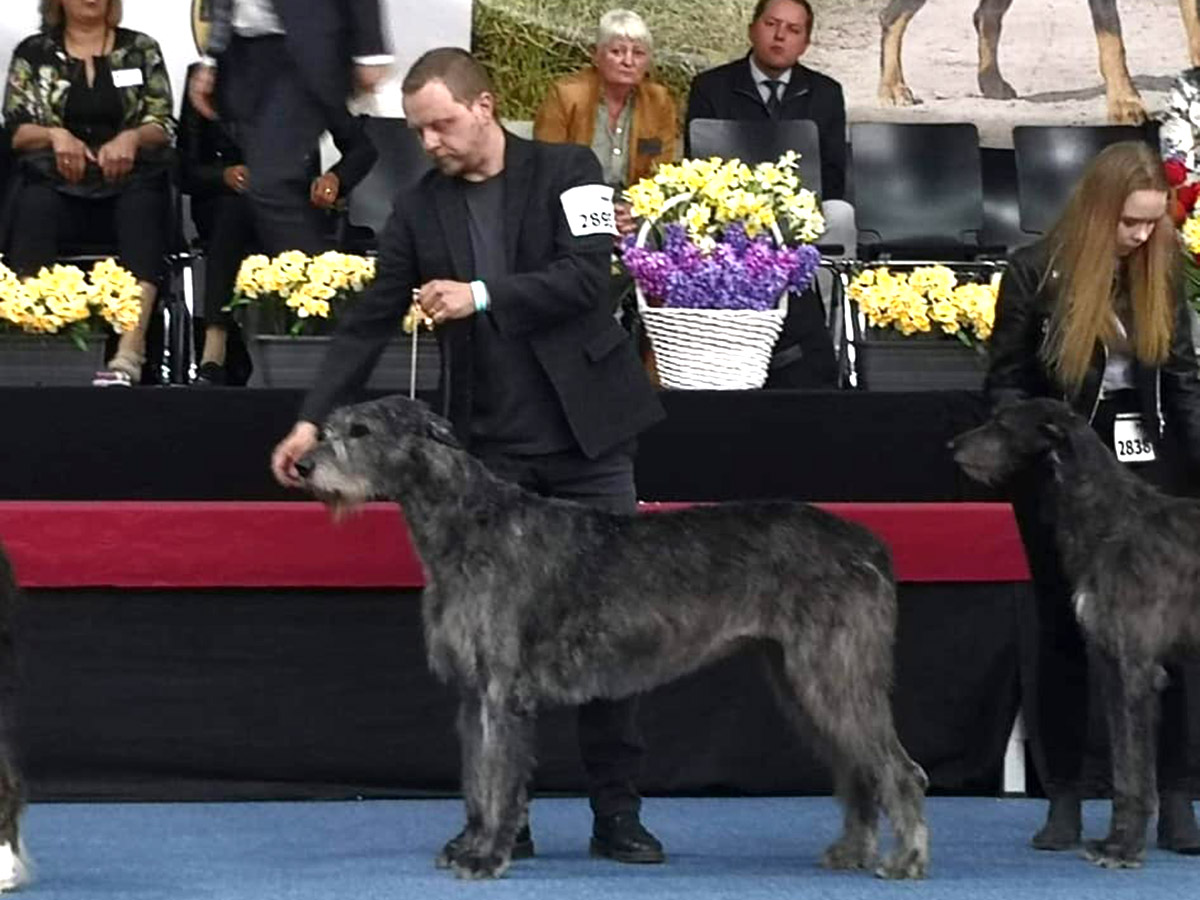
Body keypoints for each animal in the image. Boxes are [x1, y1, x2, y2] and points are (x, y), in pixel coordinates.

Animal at [297, 396, 926, 883]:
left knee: (898, 769)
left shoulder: (504, 691)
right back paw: (852, 850)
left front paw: (488, 857)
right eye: (328, 426)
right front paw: (472, 846)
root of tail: (868, 542)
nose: (302, 463)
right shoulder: (474, 694)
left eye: (361, 430)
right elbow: (476, 780)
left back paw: (906, 859)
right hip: (798, 678)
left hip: (834, 670)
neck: (470, 523)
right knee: (857, 768)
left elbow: (498, 780)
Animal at [955, 398, 1200, 868]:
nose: (953, 446)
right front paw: (1114, 840)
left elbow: (1136, 764)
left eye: (1002, 424)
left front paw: (1125, 848)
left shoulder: (1137, 668)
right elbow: (1124, 765)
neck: (1111, 519)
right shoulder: (1110, 664)